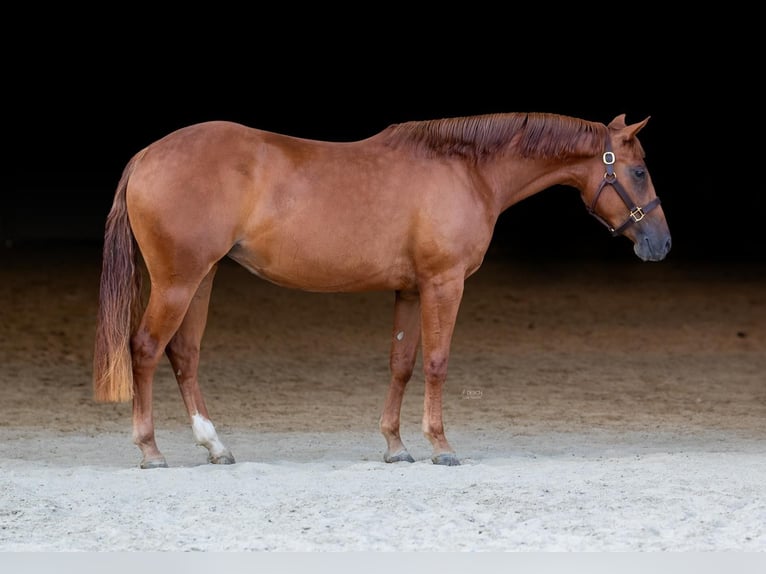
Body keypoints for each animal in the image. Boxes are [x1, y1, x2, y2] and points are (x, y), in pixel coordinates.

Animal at [93, 112, 671, 468]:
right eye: (640, 171)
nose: (661, 244)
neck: (466, 169)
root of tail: (147, 155)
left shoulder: (411, 291)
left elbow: (402, 364)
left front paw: (395, 446)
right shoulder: (443, 283)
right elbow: (437, 362)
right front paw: (441, 445)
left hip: (202, 277)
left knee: (184, 355)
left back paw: (215, 446)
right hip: (179, 281)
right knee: (145, 350)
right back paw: (150, 451)